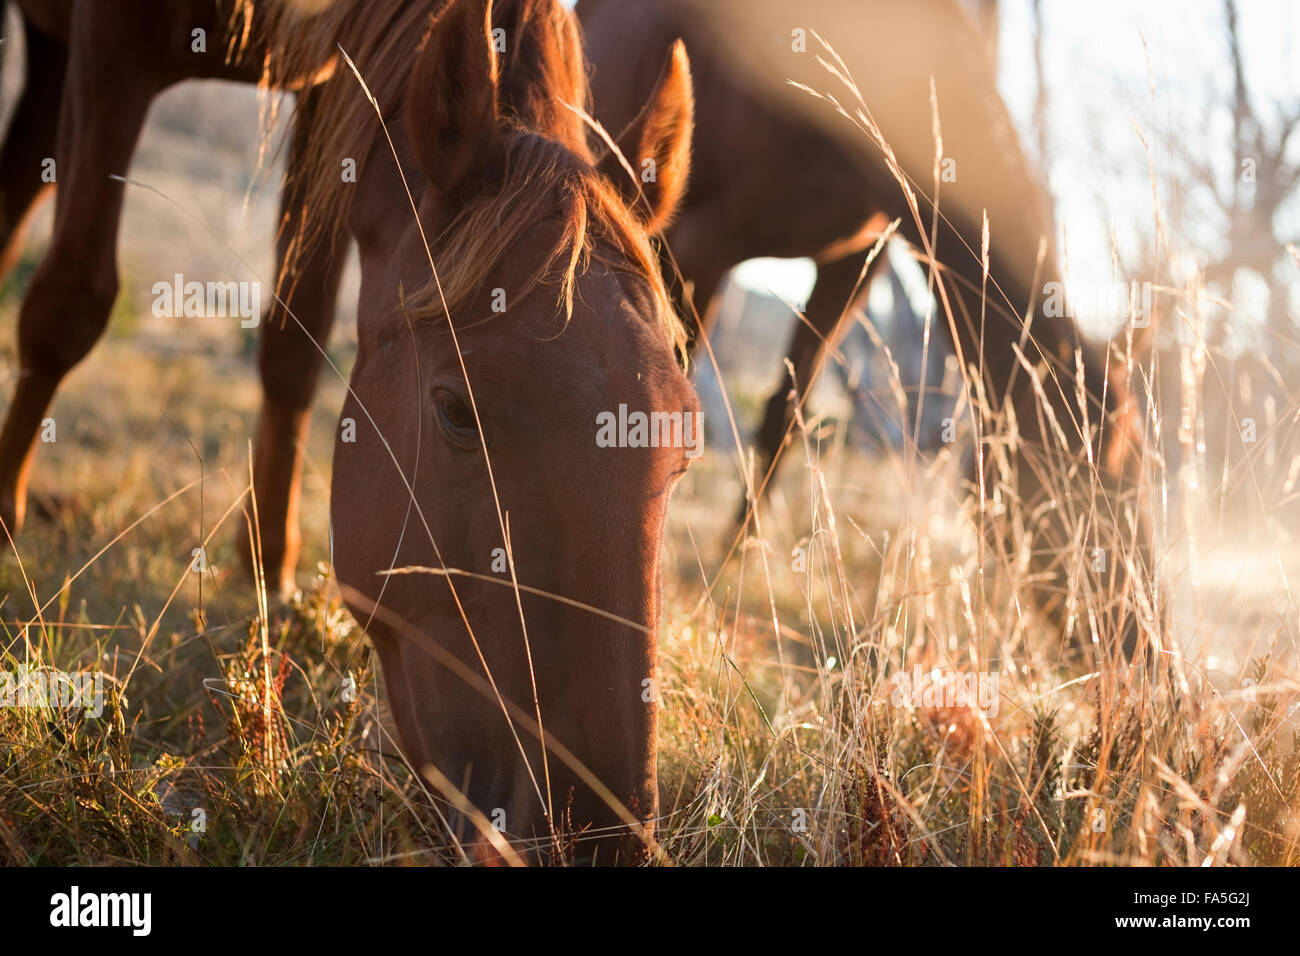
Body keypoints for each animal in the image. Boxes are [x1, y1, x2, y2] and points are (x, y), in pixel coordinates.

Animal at [0, 0, 702, 868]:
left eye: (681, 447)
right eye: (457, 411)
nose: (595, 840)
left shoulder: (328, 93)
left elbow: (292, 340)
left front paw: (269, 569)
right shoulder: (112, 45)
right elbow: (69, 304)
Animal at [585, 0, 1154, 655]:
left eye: (1138, 469)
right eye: (1084, 484)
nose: (1148, 653)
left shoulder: (856, 259)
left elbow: (785, 415)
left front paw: (731, 562)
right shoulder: (699, 245)